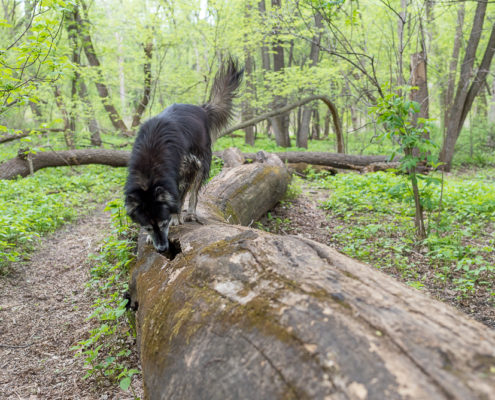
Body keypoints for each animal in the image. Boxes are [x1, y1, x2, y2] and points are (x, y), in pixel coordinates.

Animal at [125, 57, 243, 252]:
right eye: (148, 227)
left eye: (163, 223)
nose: (162, 249)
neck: (151, 159)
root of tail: (202, 109)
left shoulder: (188, 168)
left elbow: (180, 197)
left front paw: (175, 217)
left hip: (202, 164)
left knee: (194, 193)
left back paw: (191, 213)